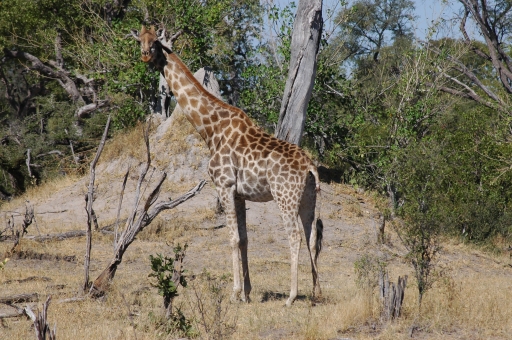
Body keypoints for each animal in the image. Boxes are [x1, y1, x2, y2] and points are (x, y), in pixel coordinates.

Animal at [132, 25, 324, 306]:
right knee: (311, 238)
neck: (211, 130)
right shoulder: (240, 193)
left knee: (294, 236)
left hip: (284, 196)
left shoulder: (224, 185)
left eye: (156, 43)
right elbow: (244, 239)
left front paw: (235, 293)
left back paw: (291, 297)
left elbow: (232, 238)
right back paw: (315, 293)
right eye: (139, 41)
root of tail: (310, 166)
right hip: (308, 197)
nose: (145, 55)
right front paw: (247, 292)